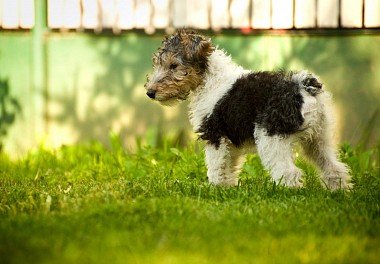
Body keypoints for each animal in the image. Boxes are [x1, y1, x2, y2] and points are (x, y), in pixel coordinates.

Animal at [145, 29, 350, 190]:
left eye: (173, 65)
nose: (150, 92)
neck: (210, 80)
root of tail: (303, 87)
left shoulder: (214, 134)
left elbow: (215, 167)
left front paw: (213, 190)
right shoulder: (230, 142)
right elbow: (228, 167)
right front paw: (226, 189)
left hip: (271, 138)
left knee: (289, 172)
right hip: (319, 138)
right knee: (335, 168)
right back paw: (339, 192)